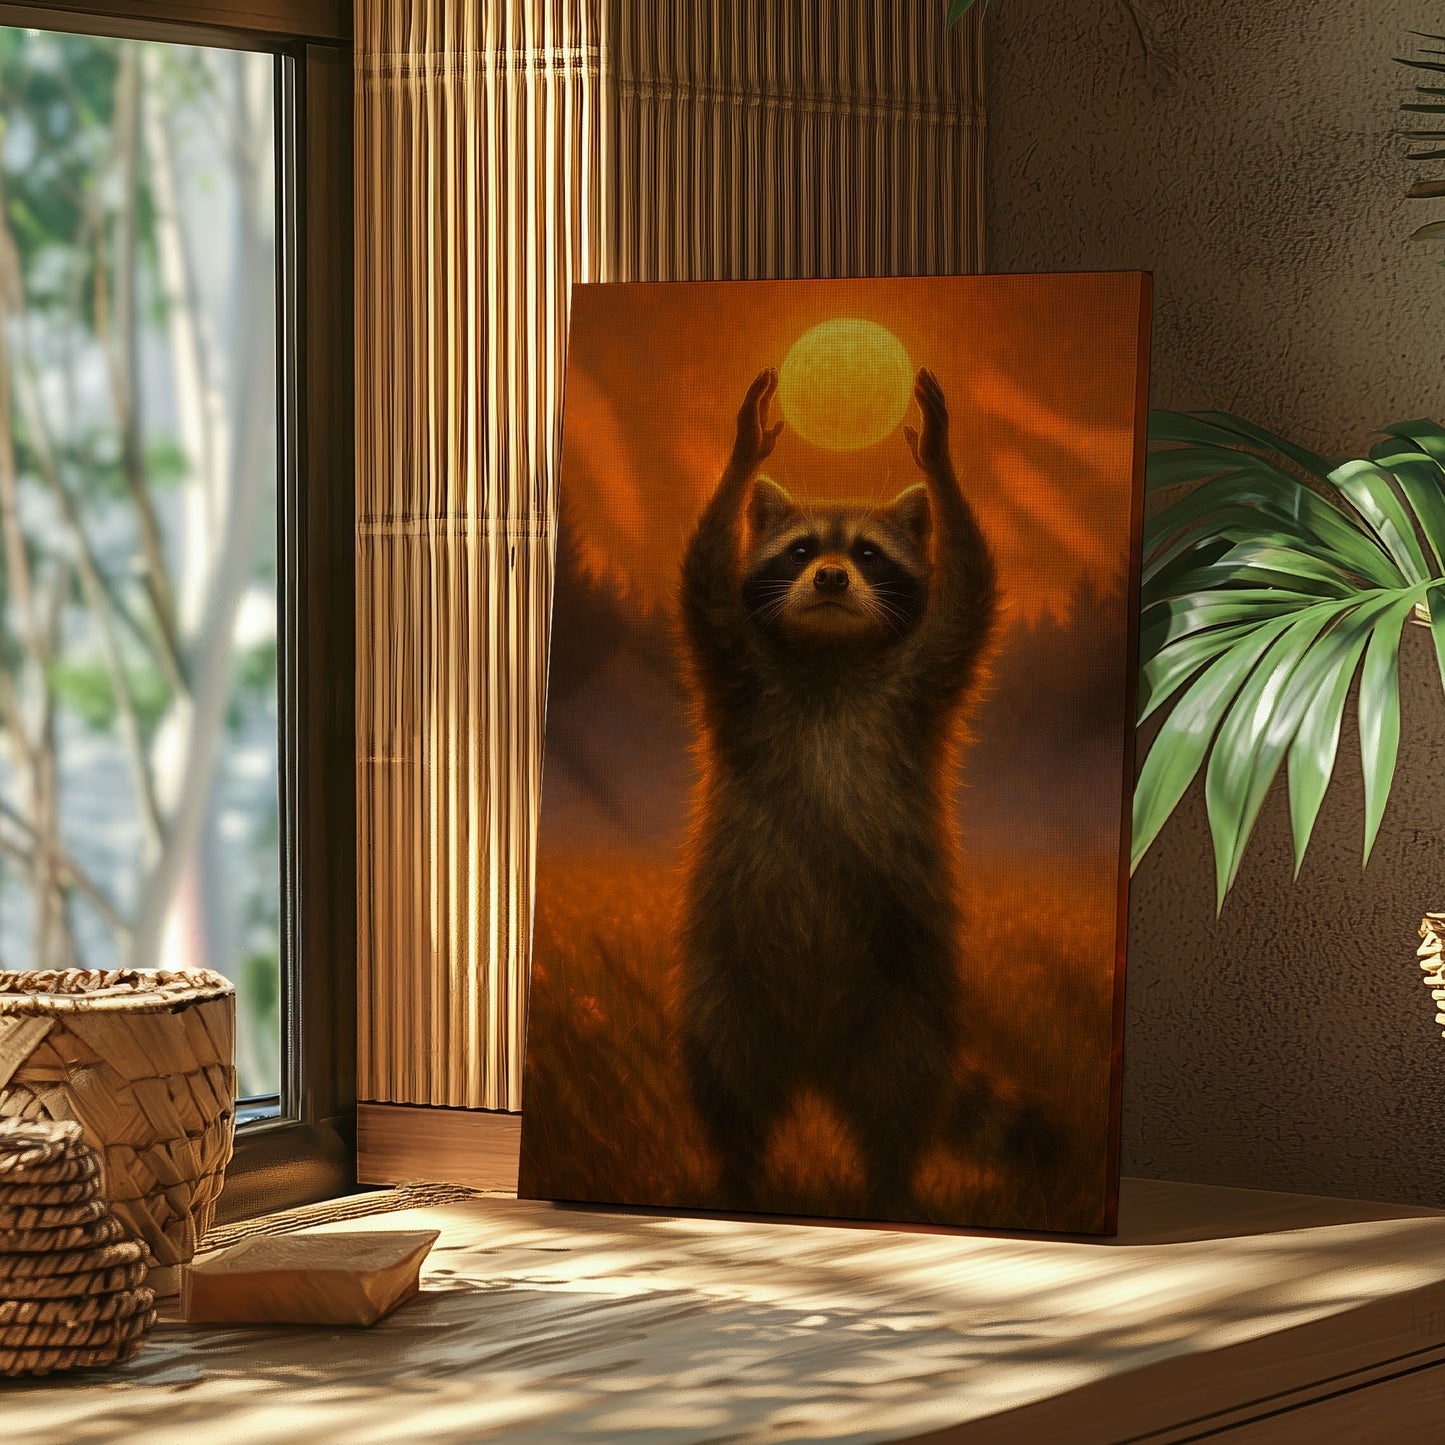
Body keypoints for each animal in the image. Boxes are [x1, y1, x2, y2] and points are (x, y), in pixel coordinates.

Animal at [676, 365, 998, 1218]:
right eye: (798, 550)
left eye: (866, 553)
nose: (827, 575)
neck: (829, 655)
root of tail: (816, 1053)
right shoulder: (736, 675)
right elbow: (703, 585)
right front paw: (740, 453)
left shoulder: (922, 683)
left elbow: (968, 594)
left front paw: (941, 460)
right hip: (727, 987)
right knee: (730, 1085)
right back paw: (736, 1177)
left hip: (906, 997)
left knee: (899, 1096)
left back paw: (890, 1187)